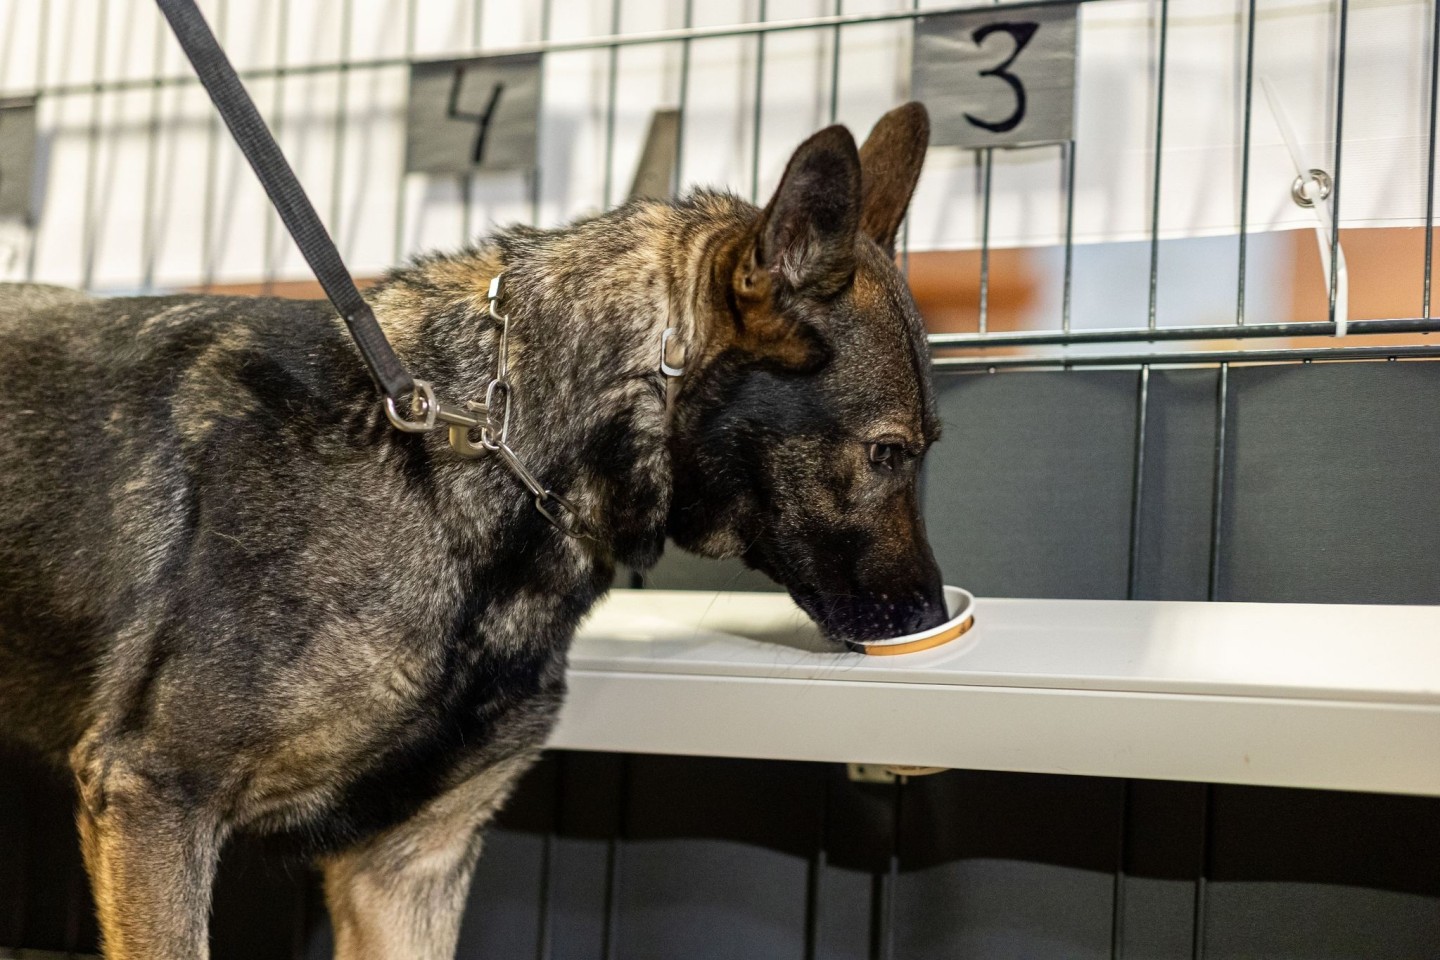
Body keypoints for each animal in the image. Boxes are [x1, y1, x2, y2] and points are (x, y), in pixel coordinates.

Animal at [0, 101, 944, 955]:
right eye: (888, 452)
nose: (932, 617)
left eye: (924, 449)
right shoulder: (157, 801)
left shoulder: (405, 869)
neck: (490, 449)